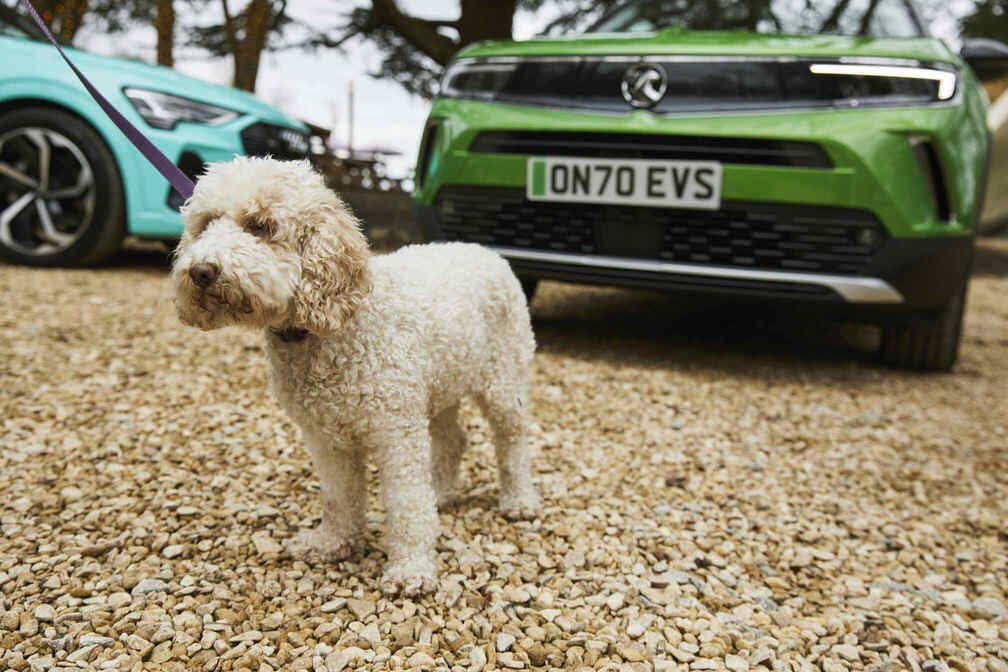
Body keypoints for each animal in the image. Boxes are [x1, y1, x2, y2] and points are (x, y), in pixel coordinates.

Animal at [169, 156, 540, 592]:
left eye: (260, 224)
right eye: (205, 224)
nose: (201, 271)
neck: (330, 330)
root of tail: (483, 251)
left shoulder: (396, 433)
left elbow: (406, 503)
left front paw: (411, 569)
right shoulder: (326, 439)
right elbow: (338, 495)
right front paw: (333, 543)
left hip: (503, 382)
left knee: (512, 442)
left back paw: (520, 501)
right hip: (439, 386)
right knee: (454, 439)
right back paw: (442, 492)